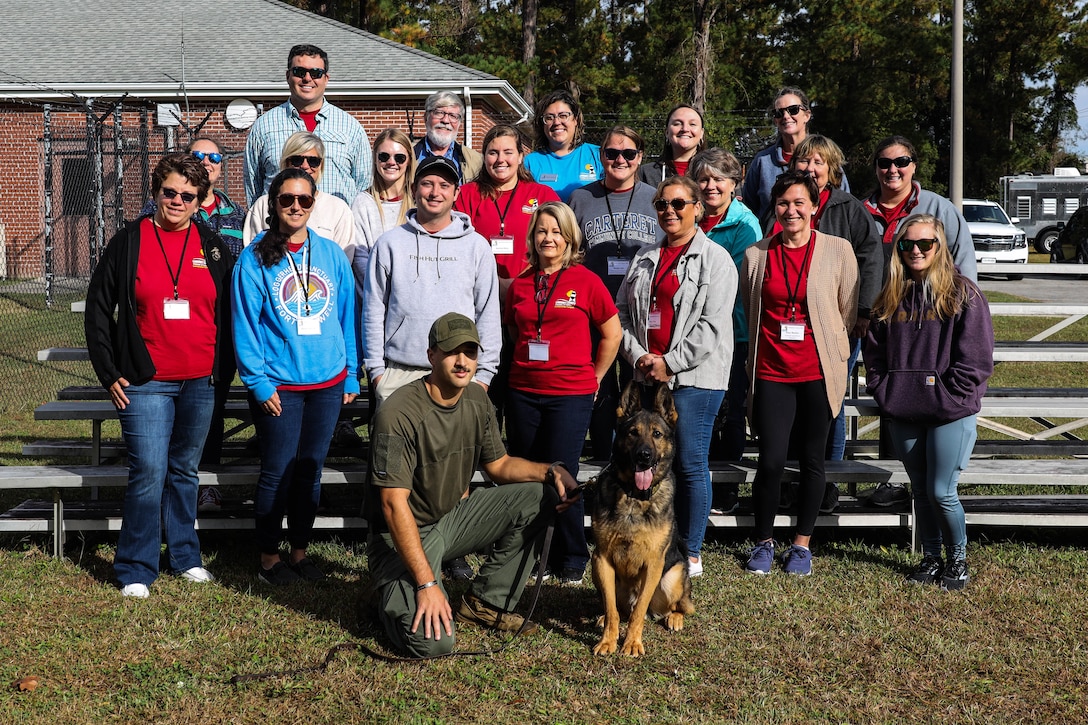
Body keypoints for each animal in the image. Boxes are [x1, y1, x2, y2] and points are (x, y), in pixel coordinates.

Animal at [591, 381, 691, 653]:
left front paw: (632, 643)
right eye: (632, 433)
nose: (644, 456)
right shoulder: (602, 559)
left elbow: (638, 613)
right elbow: (612, 609)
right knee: (620, 608)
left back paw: (675, 618)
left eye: (657, 434)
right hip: (595, 569)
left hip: (673, 576)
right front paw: (608, 640)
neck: (634, 496)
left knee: (678, 606)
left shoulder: (654, 563)